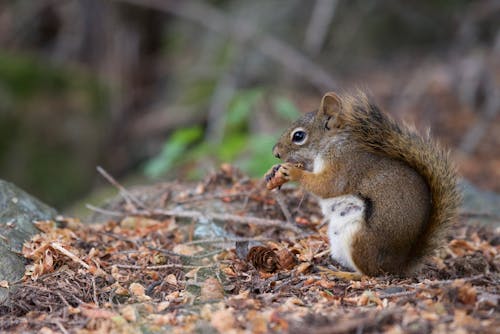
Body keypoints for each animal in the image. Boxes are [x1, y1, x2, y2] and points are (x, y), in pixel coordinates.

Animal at [266, 91, 460, 276]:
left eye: (299, 136)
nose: (275, 153)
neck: (330, 144)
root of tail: (399, 265)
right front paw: (273, 171)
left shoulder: (344, 165)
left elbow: (327, 185)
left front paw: (293, 172)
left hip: (361, 240)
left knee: (369, 273)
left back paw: (342, 274)